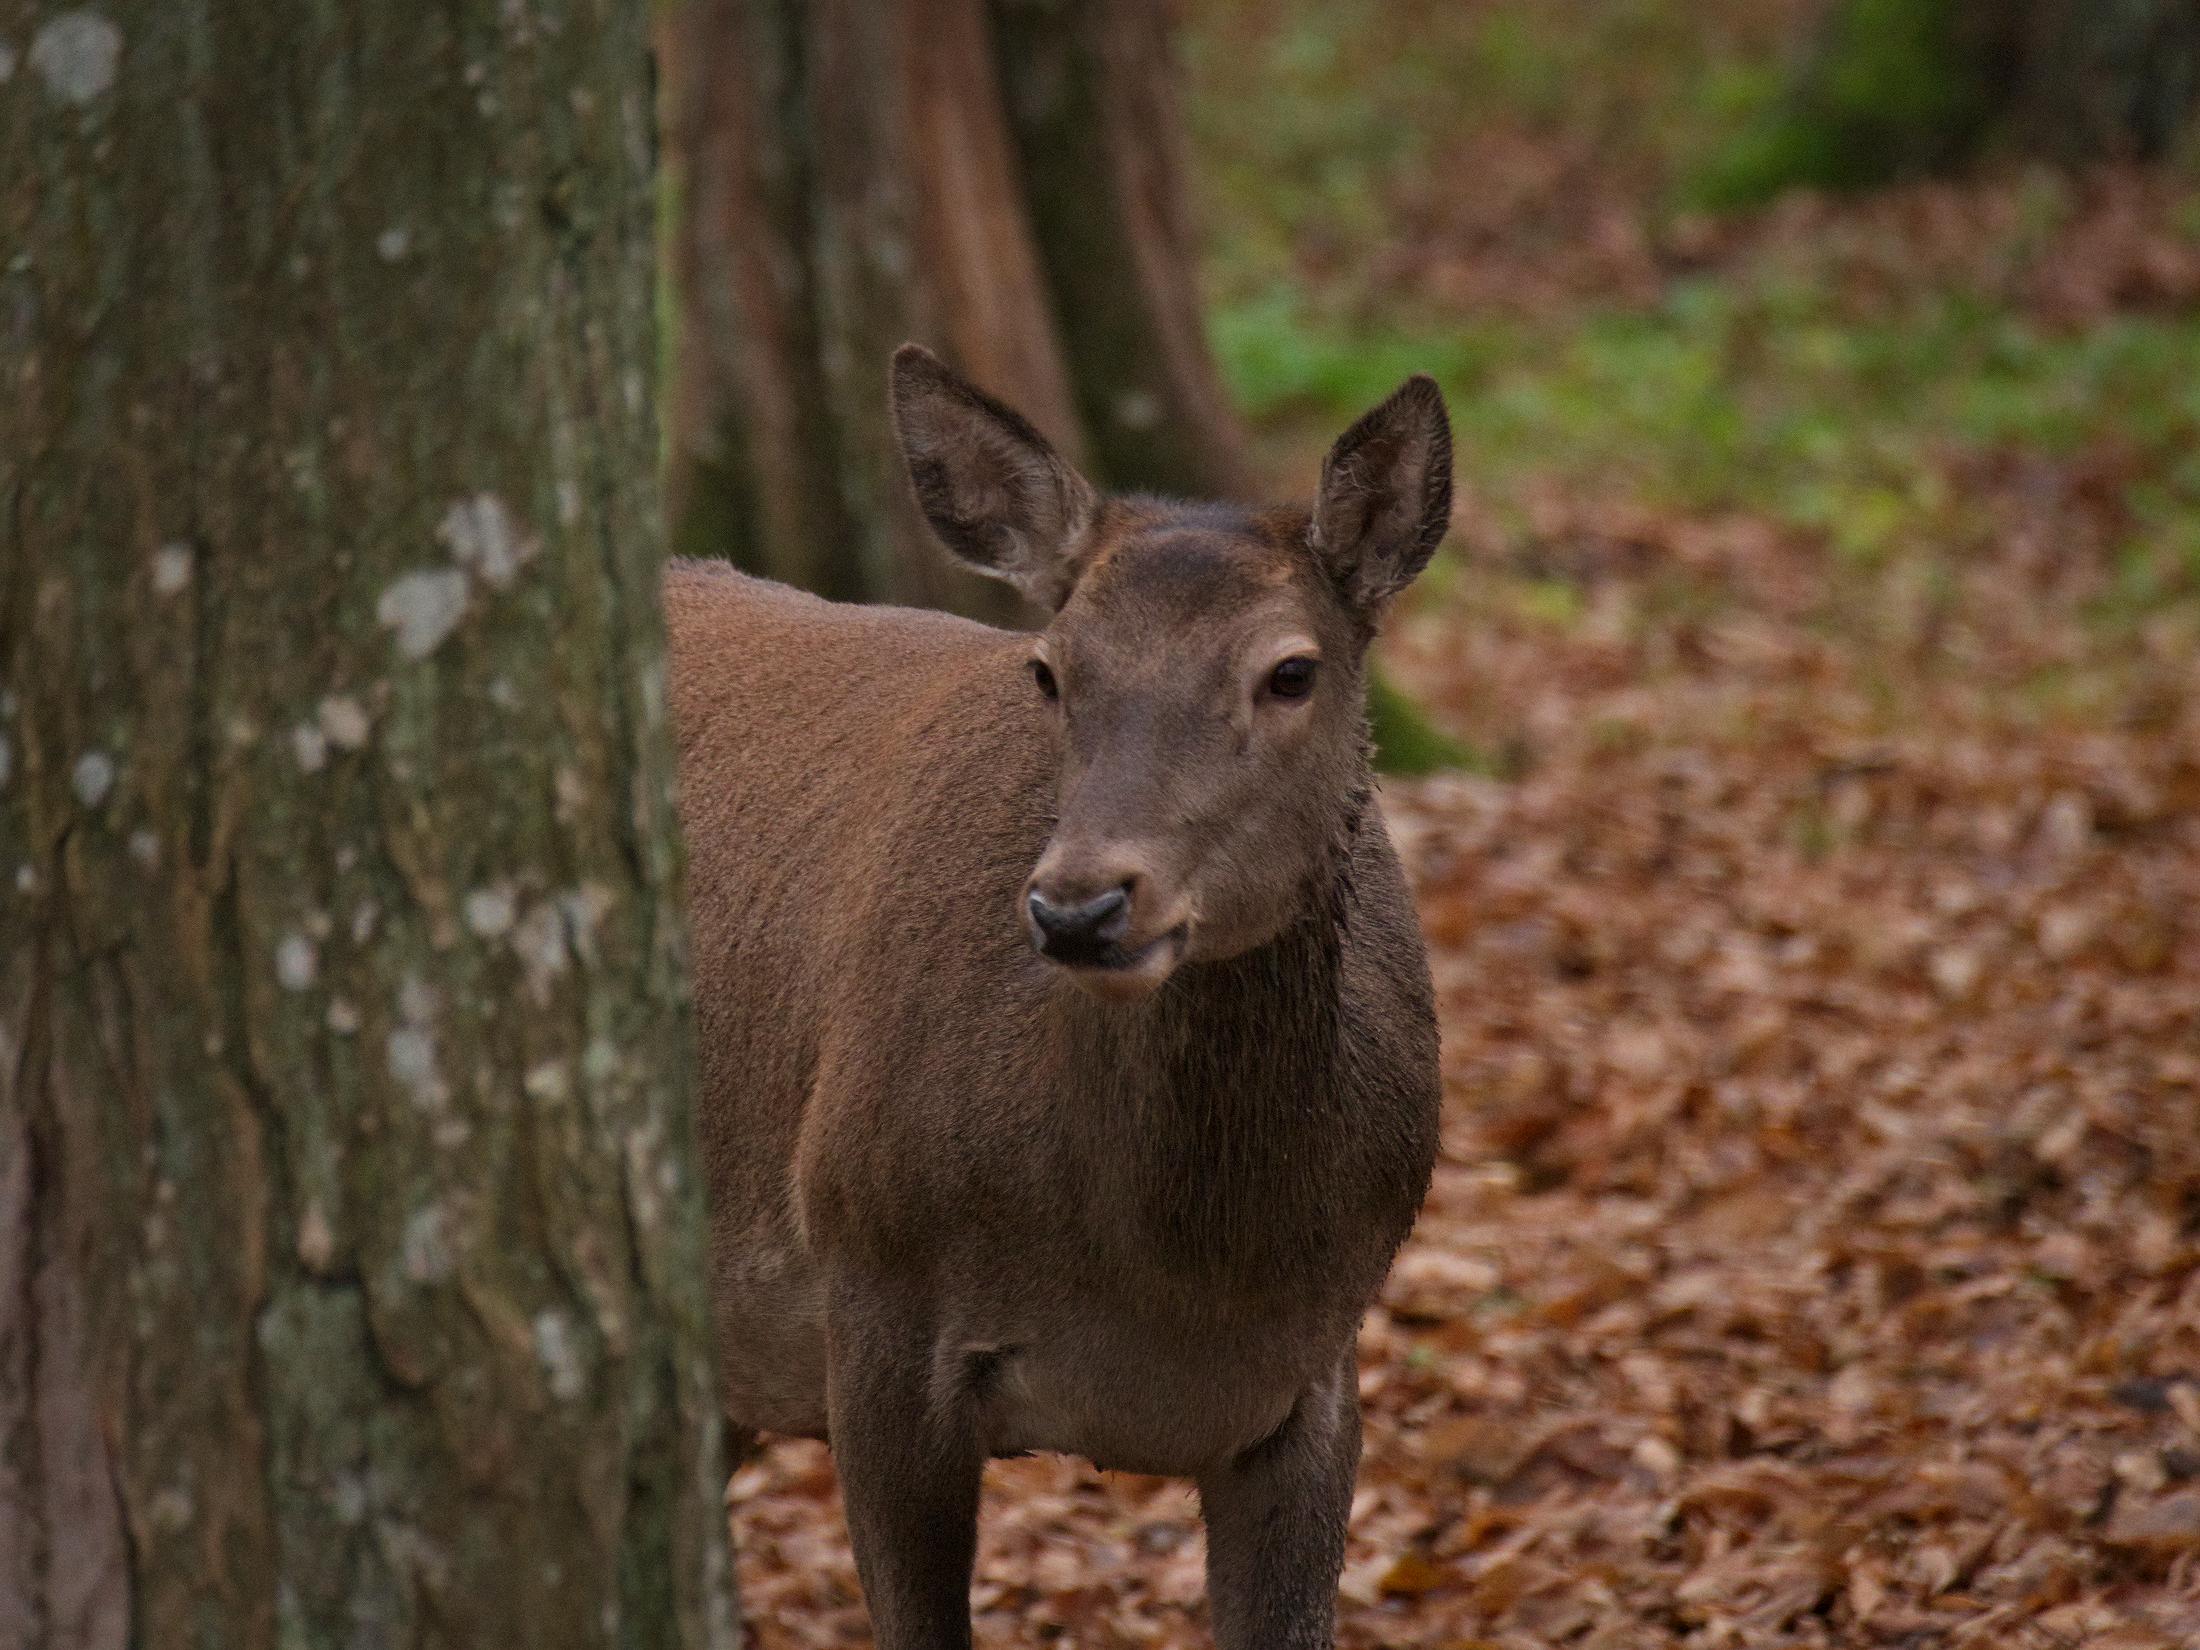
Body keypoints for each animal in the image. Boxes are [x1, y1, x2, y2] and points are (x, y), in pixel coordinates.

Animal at [666, 343, 1449, 1650]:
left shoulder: (1317, 1379)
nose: (1080, 906)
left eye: (1291, 671)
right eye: (1048, 668)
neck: (1175, 1276)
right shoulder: (867, 1289)